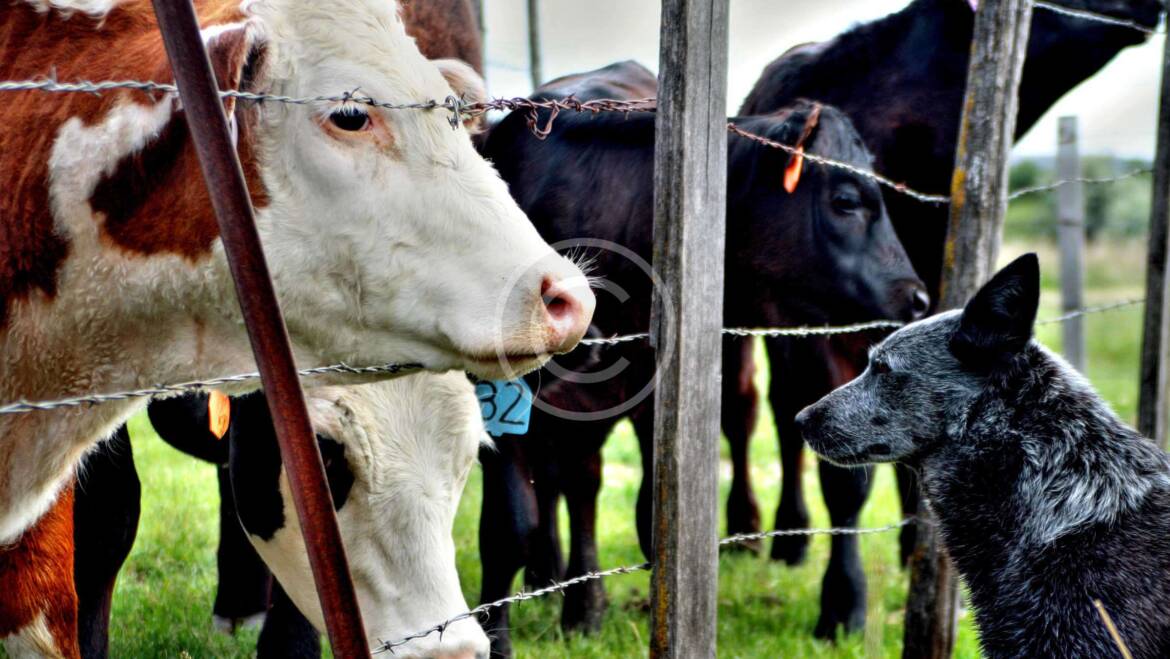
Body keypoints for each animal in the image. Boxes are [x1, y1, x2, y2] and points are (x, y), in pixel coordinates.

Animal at [729, 0, 1164, 595]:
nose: (1152, 7)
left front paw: (918, 551)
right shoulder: (822, 327)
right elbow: (845, 473)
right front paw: (844, 598)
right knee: (758, 410)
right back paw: (770, 534)